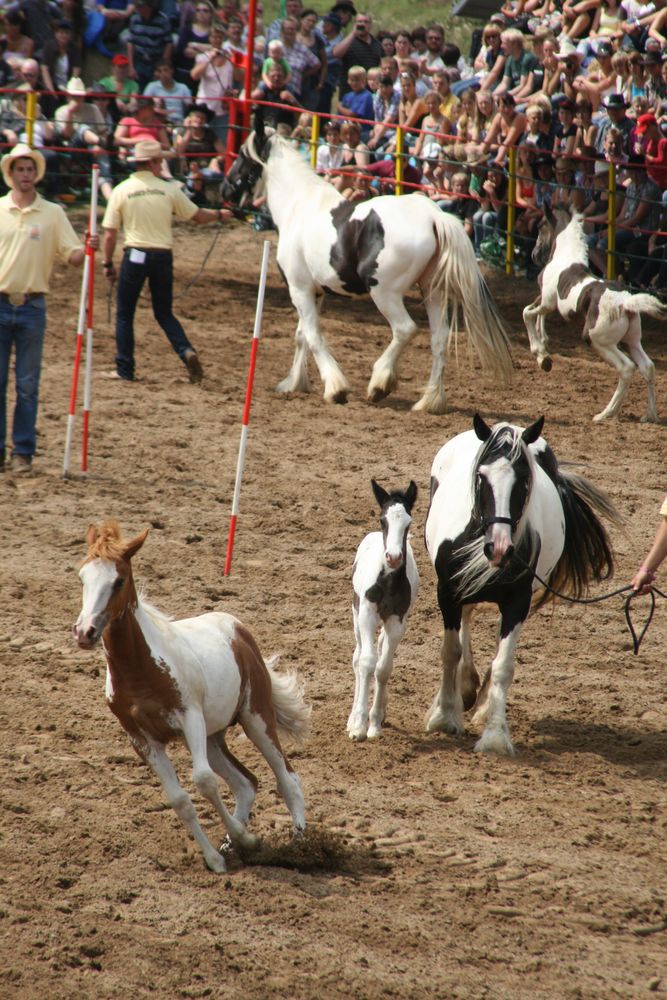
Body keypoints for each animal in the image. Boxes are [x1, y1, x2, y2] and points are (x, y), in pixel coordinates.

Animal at [73, 524, 310, 876]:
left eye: (119, 581)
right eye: (82, 577)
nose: (85, 632)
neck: (140, 670)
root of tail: (239, 631)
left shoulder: (190, 718)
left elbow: (204, 782)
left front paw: (249, 840)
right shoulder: (141, 739)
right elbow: (180, 800)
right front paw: (216, 858)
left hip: (255, 719)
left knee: (287, 778)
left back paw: (302, 845)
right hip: (213, 738)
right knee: (245, 783)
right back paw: (231, 844)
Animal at [222, 116, 516, 414]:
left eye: (243, 156)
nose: (225, 189)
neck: (298, 206)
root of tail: (434, 216)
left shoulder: (299, 289)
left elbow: (313, 337)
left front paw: (335, 389)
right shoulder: (314, 292)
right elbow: (301, 335)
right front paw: (294, 383)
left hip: (384, 293)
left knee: (405, 329)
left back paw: (379, 384)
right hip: (432, 291)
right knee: (439, 339)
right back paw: (428, 401)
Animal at [348, 480, 420, 740]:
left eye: (408, 522)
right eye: (383, 520)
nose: (394, 557)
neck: (387, 580)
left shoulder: (397, 620)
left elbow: (383, 668)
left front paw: (375, 723)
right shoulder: (367, 614)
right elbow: (367, 663)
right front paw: (359, 725)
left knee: (379, 648)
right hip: (356, 613)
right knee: (358, 657)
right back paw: (352, 717)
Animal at [426, 416, 624, 756]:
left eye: (523, 480)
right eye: (481, 476)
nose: (500, 548)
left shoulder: (518, 602)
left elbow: (503, 665)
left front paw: (494, 735)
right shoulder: (448, 592)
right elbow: (450, 651)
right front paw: (444, 715)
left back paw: (481, 702)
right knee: (466, 621)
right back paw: (464, 688)